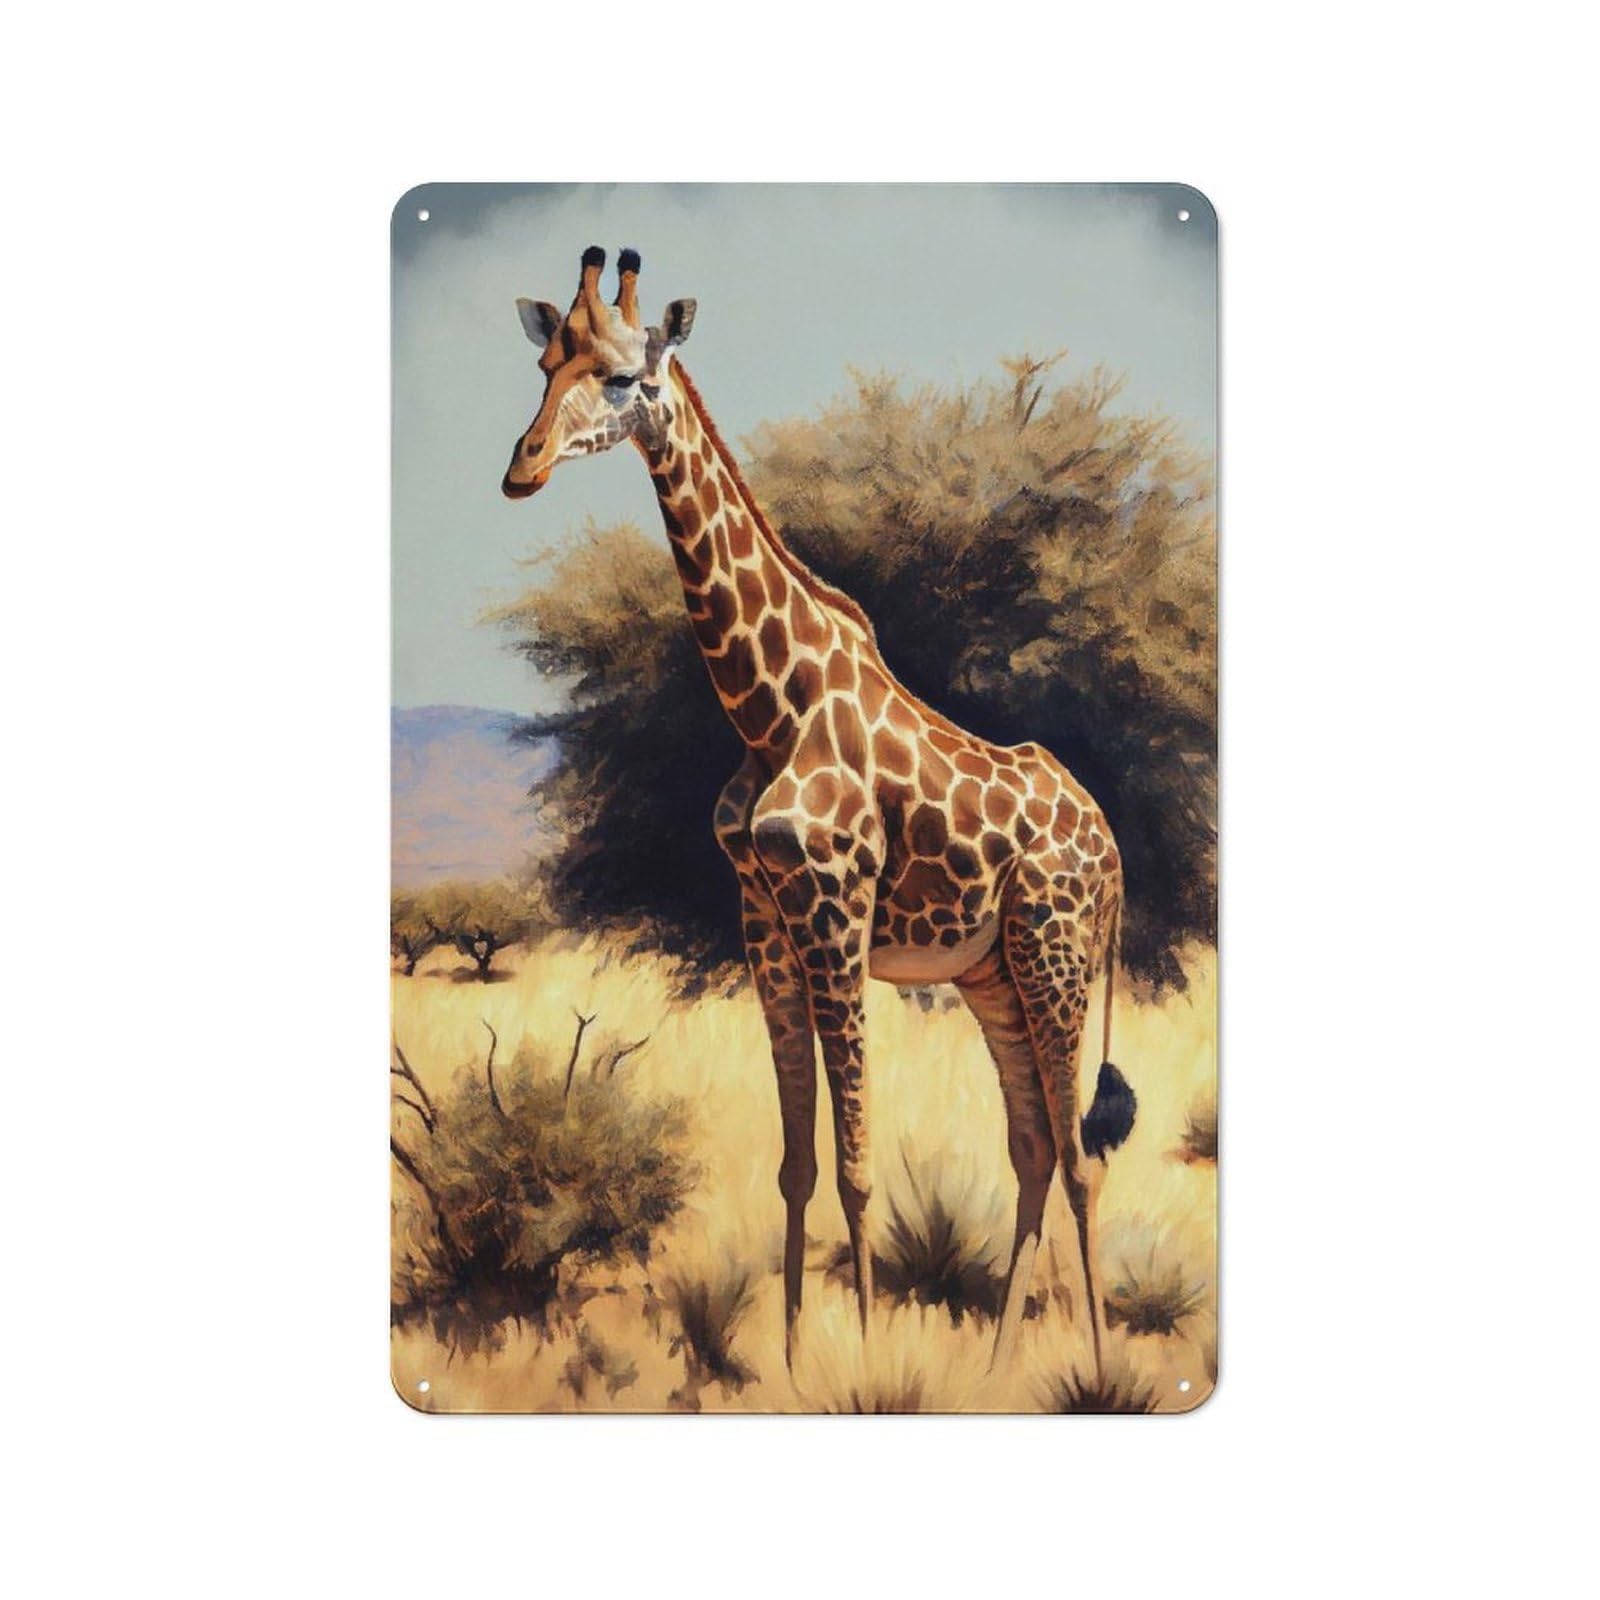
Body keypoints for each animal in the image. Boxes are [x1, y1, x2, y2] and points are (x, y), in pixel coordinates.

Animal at [501, 247, 1137, 1373]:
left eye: (621, 377)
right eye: (543, 364)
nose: (521, 466)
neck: (770, 709)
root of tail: (1109, 849)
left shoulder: (837, 908)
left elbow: (855, 1164)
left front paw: (870, 1360)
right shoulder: (765, 918)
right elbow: (799, 1162)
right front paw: (795, 1360)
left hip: (1057, 955)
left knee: (1077, 1156)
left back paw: (1096, 1370)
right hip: (993, 974)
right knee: (1028, 1146)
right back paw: (994, 1362)